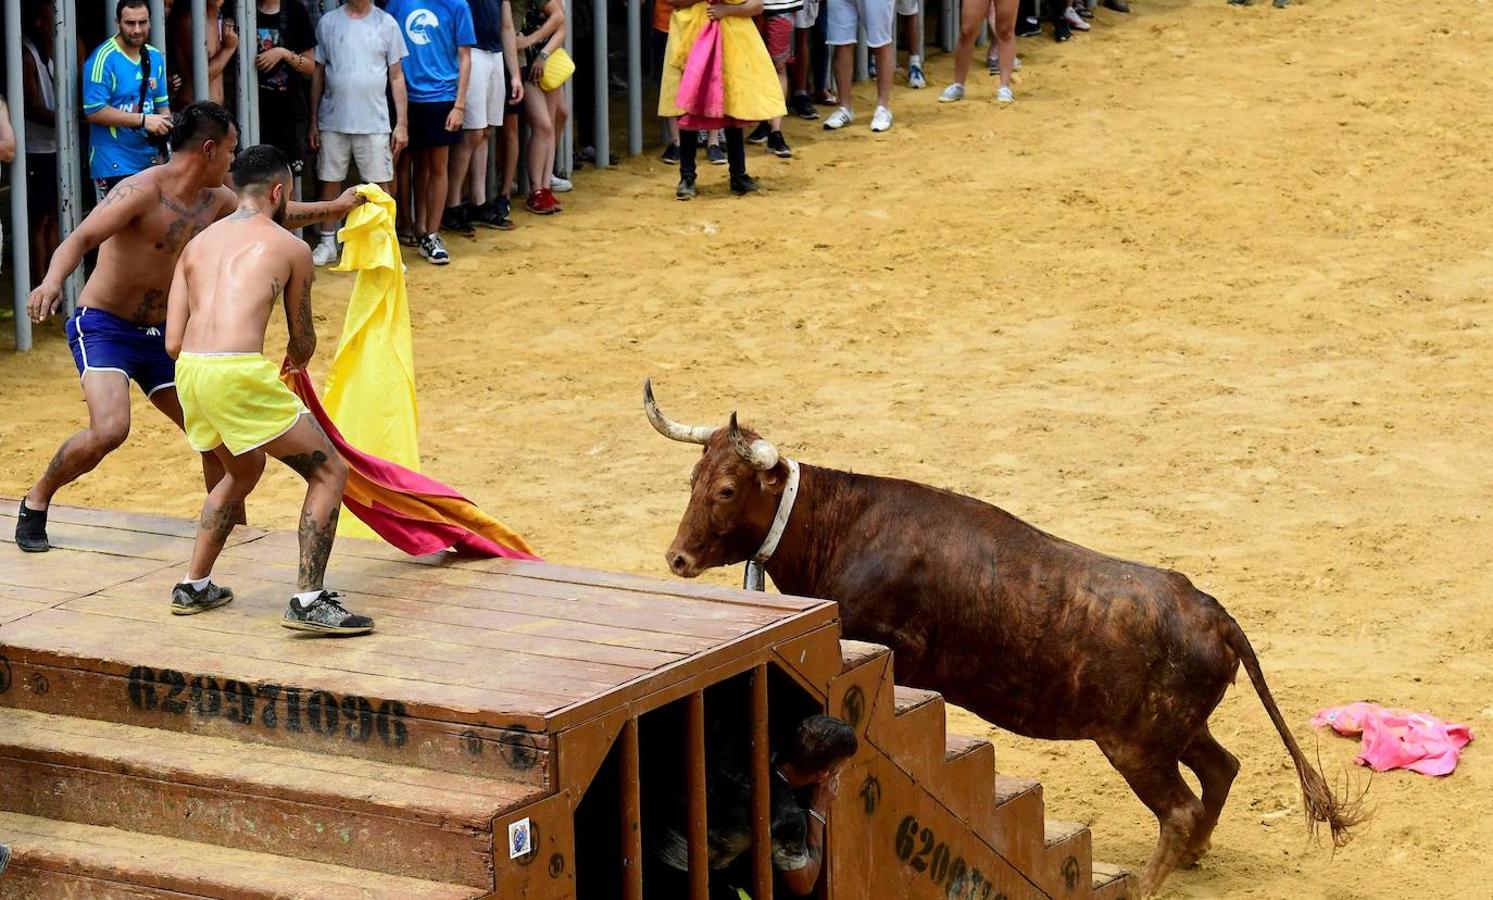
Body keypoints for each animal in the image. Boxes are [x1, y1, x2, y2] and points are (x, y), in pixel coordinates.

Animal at [644, 382, 1367, 900]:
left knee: (1183, 807)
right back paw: (1191, 861)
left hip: (1137, 746)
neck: (842, 525)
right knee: (1221, 770)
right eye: (692, 483)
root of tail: (1212, 611)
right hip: (1175, 729)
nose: (677, 558)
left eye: (727, 489)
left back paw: (1151, 884)